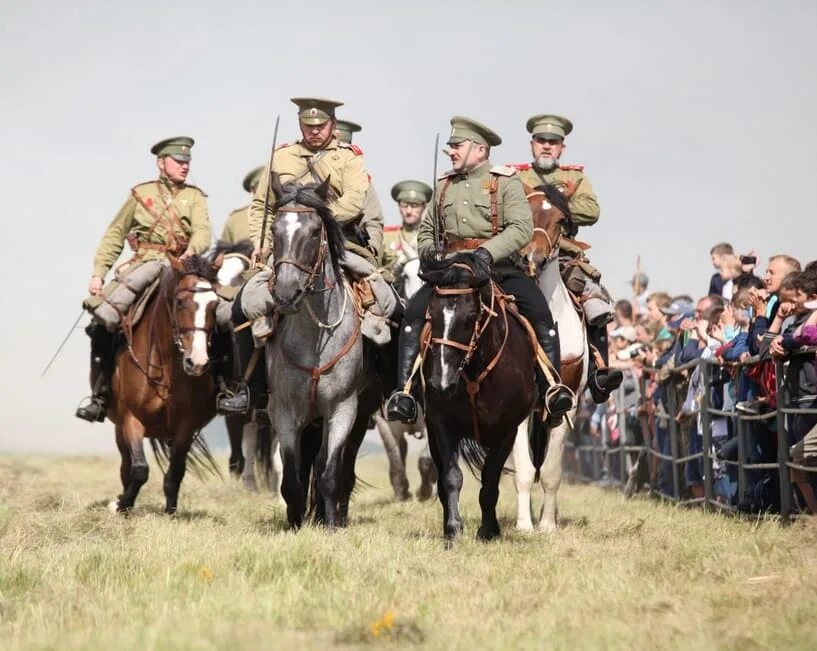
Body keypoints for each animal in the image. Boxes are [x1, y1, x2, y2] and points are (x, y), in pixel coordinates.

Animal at [108, 253, 225, 516]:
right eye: (180, 302)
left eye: (214, 304)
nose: (197, 362)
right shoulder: (131, 419)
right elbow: (139, 469)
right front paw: (123, 505)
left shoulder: (186, 426)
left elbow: (175, 472)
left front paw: (170, 512)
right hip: (120, 428)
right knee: (126, 465)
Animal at [268, 177, 382, 528]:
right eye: (274, 229)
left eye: (315, 231)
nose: (286, 292)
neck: (314, 339)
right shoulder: (285, 413)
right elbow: (292, 476)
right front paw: (294, 523)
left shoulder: (342, 409)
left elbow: (330, 472)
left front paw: (331, 524)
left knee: (340, 468)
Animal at [418, 253, 540, 540]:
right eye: (432, 315)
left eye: (470, 317)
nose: (441, 383)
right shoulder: (442, 424)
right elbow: (451, 477)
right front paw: (453, 529)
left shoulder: (506, 431)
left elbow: (490, 479)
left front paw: (488, 531)